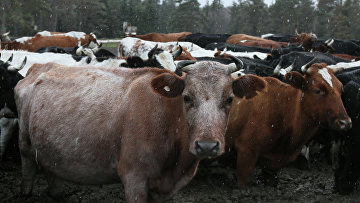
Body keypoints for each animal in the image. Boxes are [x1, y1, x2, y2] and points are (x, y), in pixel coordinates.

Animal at [14, 56, 262, 201]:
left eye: (230, 99)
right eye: (187, 97)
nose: (207, 146)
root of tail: (39, 67)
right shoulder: (134, 178)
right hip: (24, 145)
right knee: (27, 169)